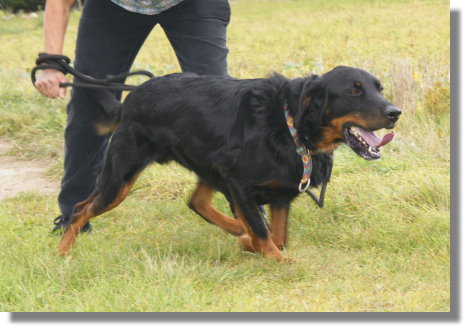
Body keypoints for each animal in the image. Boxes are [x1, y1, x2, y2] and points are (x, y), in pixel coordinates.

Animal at [57, 66, 398, 262]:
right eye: (353, 90)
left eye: (379, 88)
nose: (395, 112)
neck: (289, 125)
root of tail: (132, 97)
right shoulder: (237, 181)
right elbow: (267, 237)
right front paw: (271, 255)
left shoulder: (279, 195)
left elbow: (278, 235)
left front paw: (252, 243)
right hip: (121, 176)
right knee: (80, 208)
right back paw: (61, 252)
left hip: (205, 164)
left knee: (196, 201)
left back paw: (238, 232)